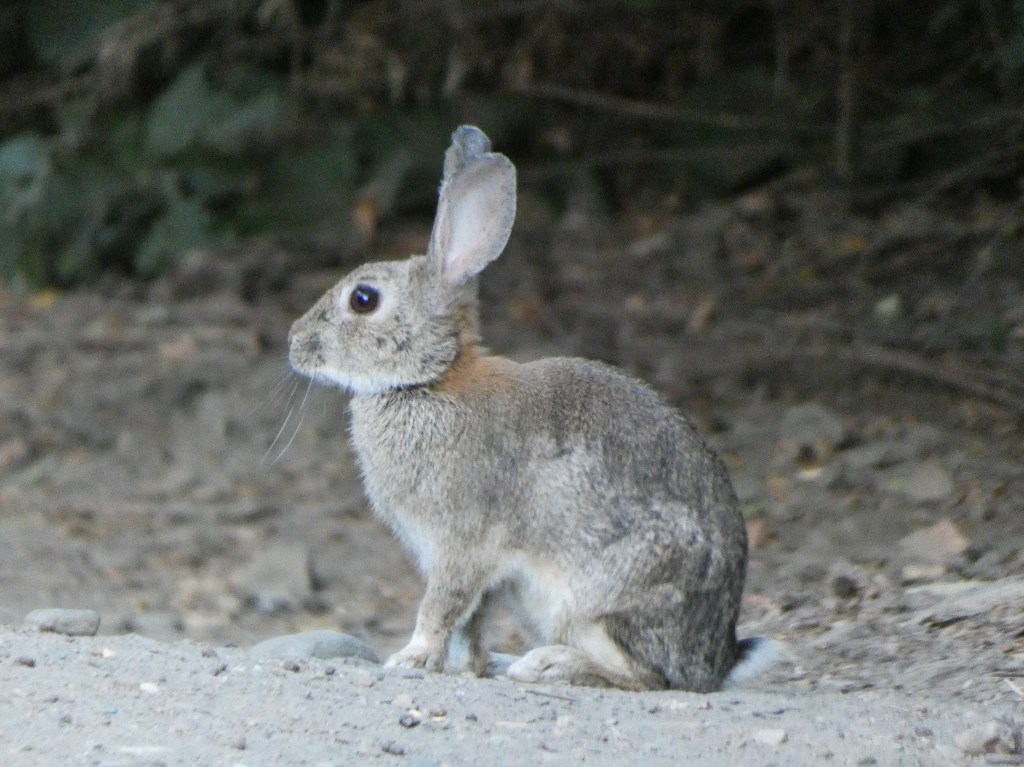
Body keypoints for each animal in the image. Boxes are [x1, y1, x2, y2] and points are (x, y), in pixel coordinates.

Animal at [288, 125, 772, 692]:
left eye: (363, 299)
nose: (294, 343)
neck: (428, 381)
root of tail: (716, 661)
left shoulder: (463, 542)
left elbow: (442, 607)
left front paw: (411, 657)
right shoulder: (475, 565)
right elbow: (471, 620)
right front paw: (467, 667)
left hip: (598, 597)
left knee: (649, 678)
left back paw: (550, 664)